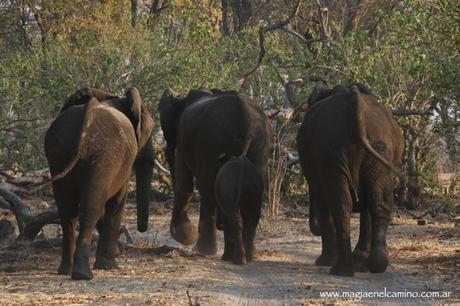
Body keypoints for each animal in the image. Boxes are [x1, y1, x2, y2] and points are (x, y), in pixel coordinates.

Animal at [44, 86, 155, 280]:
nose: (142, 229)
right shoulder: (123, 164)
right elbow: (116, 202)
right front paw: (110, 263)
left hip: (59, 154)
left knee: (67, 211)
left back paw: (65, 270)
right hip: (105, 155)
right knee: (91, 208)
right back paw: (83, 274)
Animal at [159, 88, 272, 258]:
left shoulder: (183, 139)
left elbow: (184, 183)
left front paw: (186, 237)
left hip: (211, 143)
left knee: (208, 192)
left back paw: (204, 250)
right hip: (260, 146)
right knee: (251, 200)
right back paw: (247, 255)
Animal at [298, 83, 402, 278]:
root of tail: (357, 106)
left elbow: (322, 197)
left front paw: (324, 262)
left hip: (336, 151)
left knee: (339, 202)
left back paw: (340, 269)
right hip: (377, 149)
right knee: (377, 200)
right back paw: (372, 265)